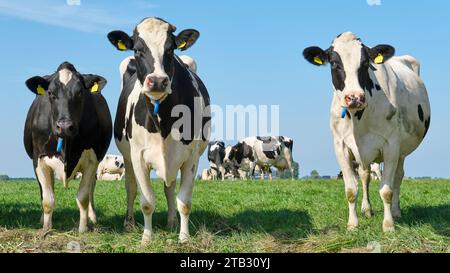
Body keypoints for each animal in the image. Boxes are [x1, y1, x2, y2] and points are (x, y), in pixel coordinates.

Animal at [22, 61, 112, 232]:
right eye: (50, 93)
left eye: (80, 92)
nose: (64, 126)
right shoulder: (39, 159)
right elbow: (47, 199)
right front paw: (46, 229)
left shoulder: (92, 159)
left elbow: (83, 197)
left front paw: (83, 228)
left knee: (91, 189)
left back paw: (92, 217)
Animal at [107, 17, 211, 242]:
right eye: (137, 50)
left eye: (170, 49)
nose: (157, 81)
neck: (162, 121)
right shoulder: (138, 156)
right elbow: (147, 202)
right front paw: (147, 238)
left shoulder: (191, 157)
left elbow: (184, 202)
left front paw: (184, 237)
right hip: (127, 157)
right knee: (131, 188)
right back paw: (129, 223)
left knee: (169, 189)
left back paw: (171, 222)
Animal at [304, 32, 430, 232]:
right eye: (334, 63)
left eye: (365, 64)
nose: (354, 97)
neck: (358, 120)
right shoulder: (340, 146)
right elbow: (351, 189)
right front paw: (353, 224)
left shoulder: (391, 145)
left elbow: (386, 190)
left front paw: (388, 225)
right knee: (365, 176)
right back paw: (367, 210)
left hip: (401, 150)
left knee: (398, 177)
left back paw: (396, 212)